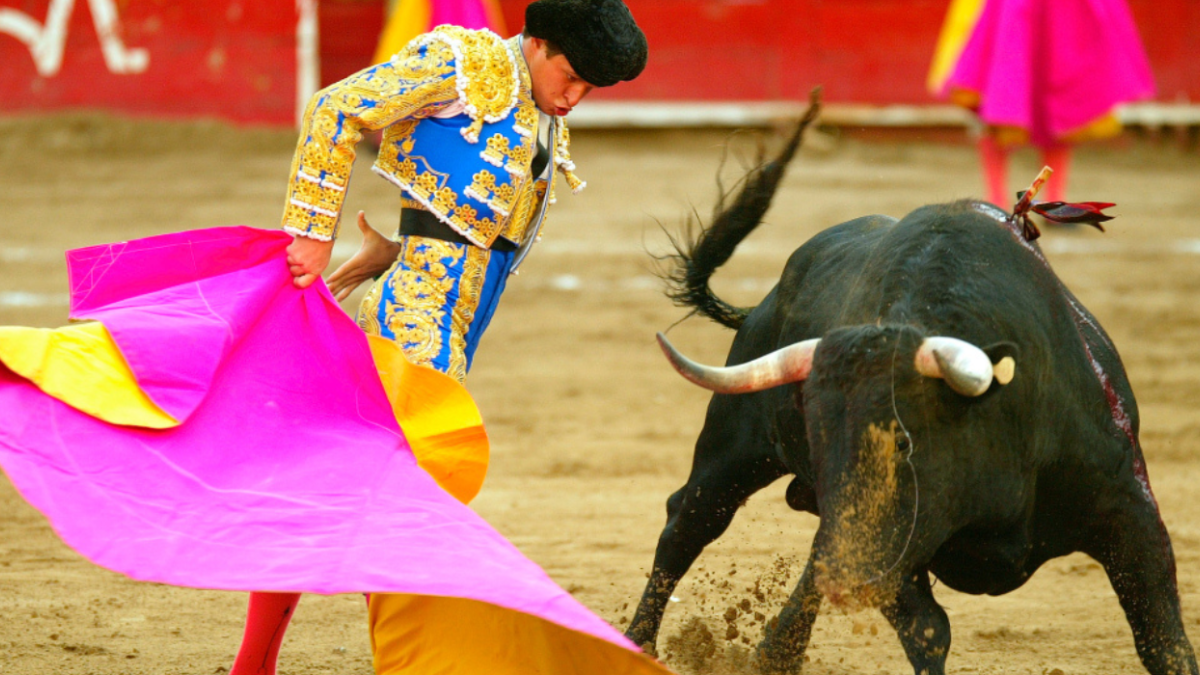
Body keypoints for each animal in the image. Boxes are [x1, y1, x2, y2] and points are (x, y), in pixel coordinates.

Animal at [628, 114, 1200, 667]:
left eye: (903, 443)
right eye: (819, 448)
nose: (846, 578)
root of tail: (763, 305)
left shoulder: (1130, 511)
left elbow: (1164, 641)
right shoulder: (895, 548)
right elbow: (928, 630)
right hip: (735, 448)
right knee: (688, 523)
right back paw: (640, 642)